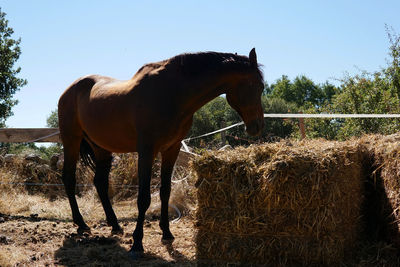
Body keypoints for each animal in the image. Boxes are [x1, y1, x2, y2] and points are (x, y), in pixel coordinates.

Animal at [57, 47, 264, 258]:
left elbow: (165, 191)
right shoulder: (147, 150)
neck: (172, 93)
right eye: (257, 86)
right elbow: (144, 198)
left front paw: (166, 233)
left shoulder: (171, 149)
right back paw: (81, 224)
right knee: (69, 178)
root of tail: (71, 89)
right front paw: (137, 243)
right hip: (71, 140)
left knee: (100, 182)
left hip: (101, 148)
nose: (257, 127)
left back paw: (115, 225)